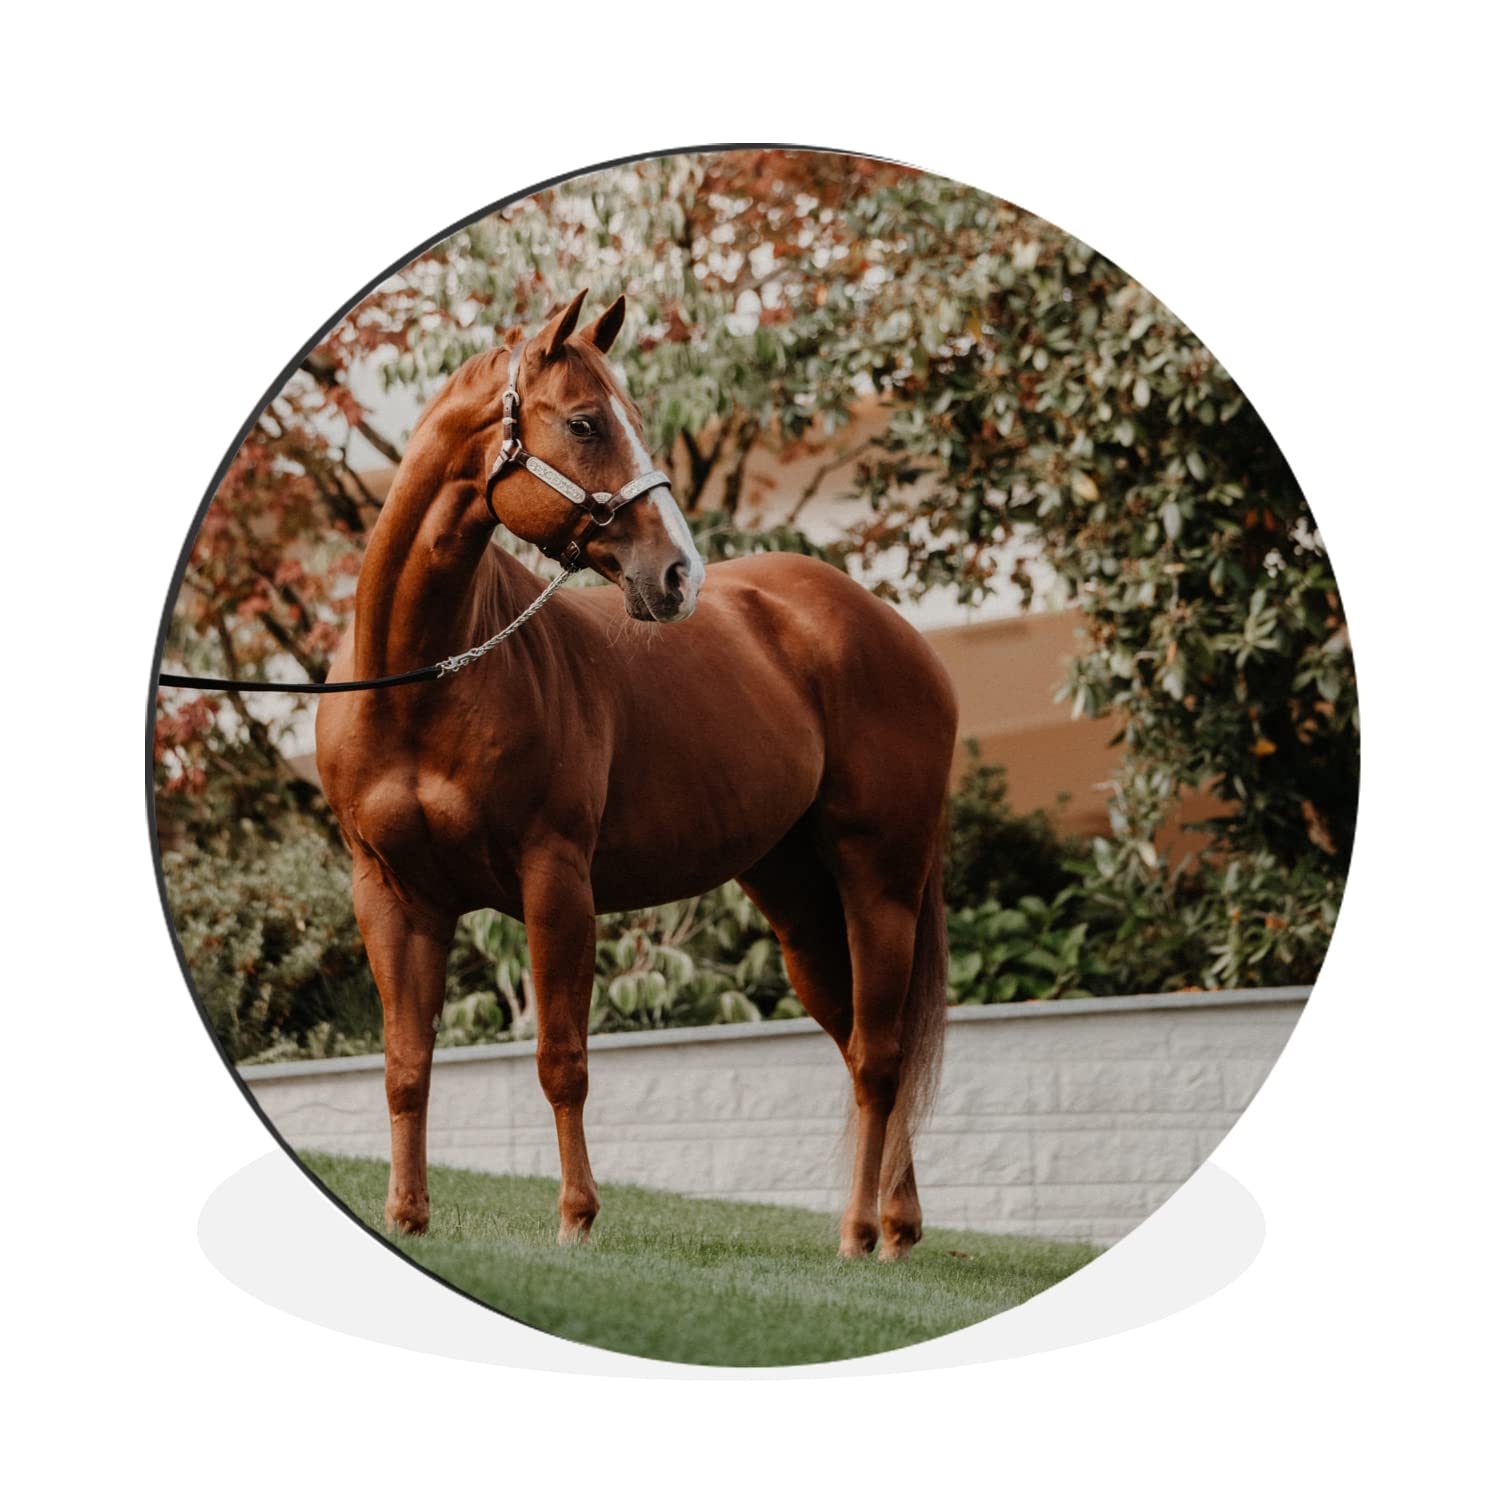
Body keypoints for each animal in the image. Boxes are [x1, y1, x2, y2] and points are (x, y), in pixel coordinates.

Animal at [315, 289, 957, 1260]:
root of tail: (894, 631)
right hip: (799, 904)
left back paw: (857, 1233)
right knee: (858, 1041)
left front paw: (578, 1218)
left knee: (880, 1057)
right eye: (584, 422)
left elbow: (562, 1061)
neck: (420, 683)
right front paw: (408, 1216)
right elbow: (405, 1066)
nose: (678, 574)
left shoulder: (555, 881)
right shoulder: (392, 896)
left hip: (880, 884)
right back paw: (898, 1226)